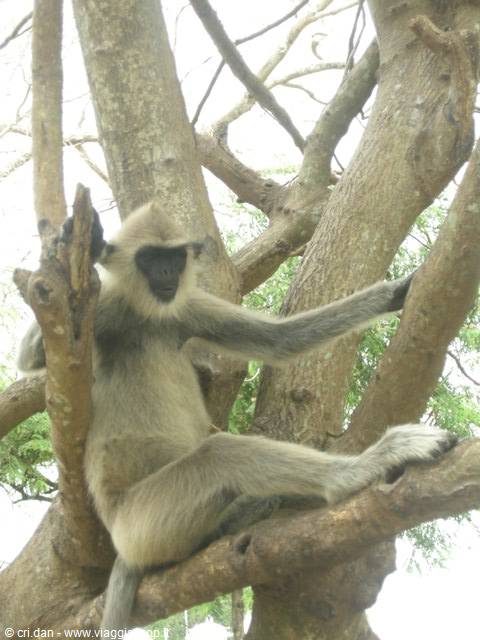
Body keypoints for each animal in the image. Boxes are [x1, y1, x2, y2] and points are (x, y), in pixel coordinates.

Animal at [17, 202, 457, 630]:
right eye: (150, 259)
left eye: (173, 258)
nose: (166, 273)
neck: (148, 316)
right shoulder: (108, 304)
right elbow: (35, 350)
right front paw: (81, 238)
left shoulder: (187, 307)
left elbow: (281, 340)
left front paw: (397, 291)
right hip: (141, 522)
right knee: (220, 454)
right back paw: (360, 469)